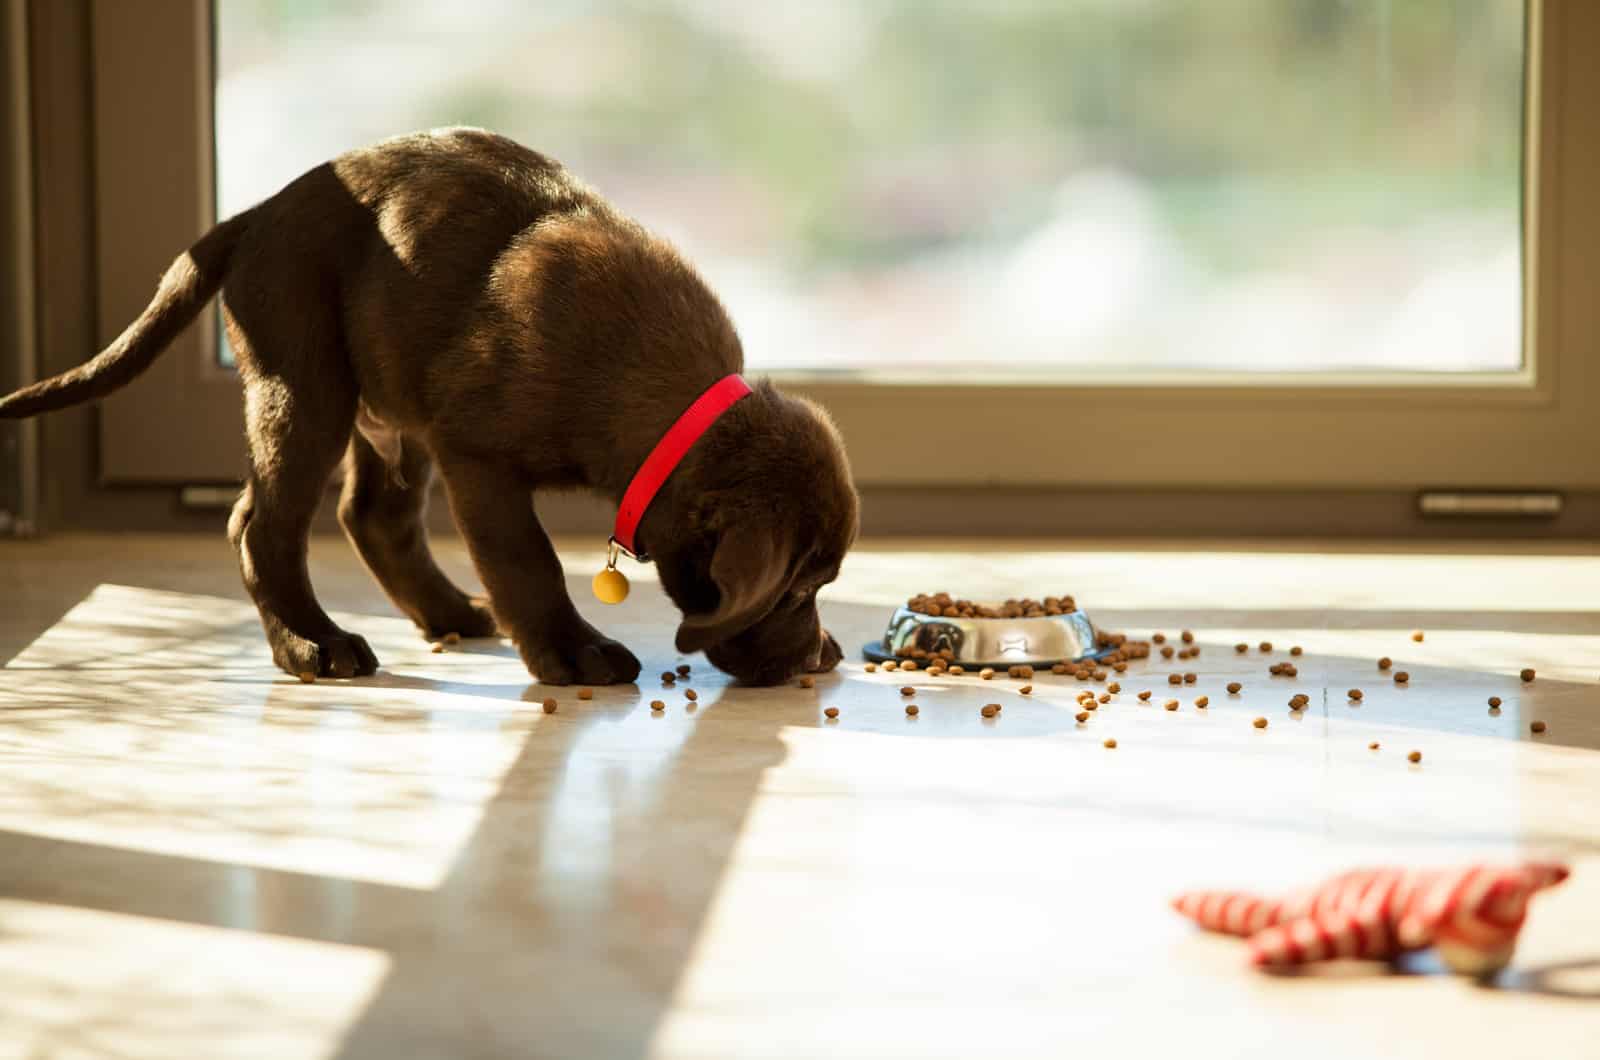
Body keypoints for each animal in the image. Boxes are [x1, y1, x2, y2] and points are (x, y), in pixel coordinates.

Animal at [3, 126, 864, 688]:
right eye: (795, 590)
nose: (820, 657)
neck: (663, 402)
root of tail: (255, 215)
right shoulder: (479, 456)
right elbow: (528, 559)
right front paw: (573, 652)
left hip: (390, 401)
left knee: (371, 514)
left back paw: (446, 611)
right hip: (305, 383)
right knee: (261, 526)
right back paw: (311, 646)